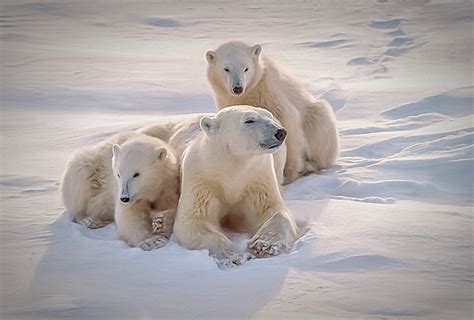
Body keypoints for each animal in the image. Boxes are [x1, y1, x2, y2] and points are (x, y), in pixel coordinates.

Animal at [173, 105, 300, 268]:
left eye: (270, 115)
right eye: (249, 120)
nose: (281, 132)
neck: (232, 165)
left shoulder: (256, 177)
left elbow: (274, 211)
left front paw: (264, 245)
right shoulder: (202, 178)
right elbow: (194, 220)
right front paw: (233, 256)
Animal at [206, 41, 338, 184]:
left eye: (246, 68)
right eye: (226, 69)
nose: (237, 88)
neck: (249, 93)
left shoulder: (269, 91)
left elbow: (288, 121)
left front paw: (290, 172)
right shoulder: (227, 100)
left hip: (315, 116)